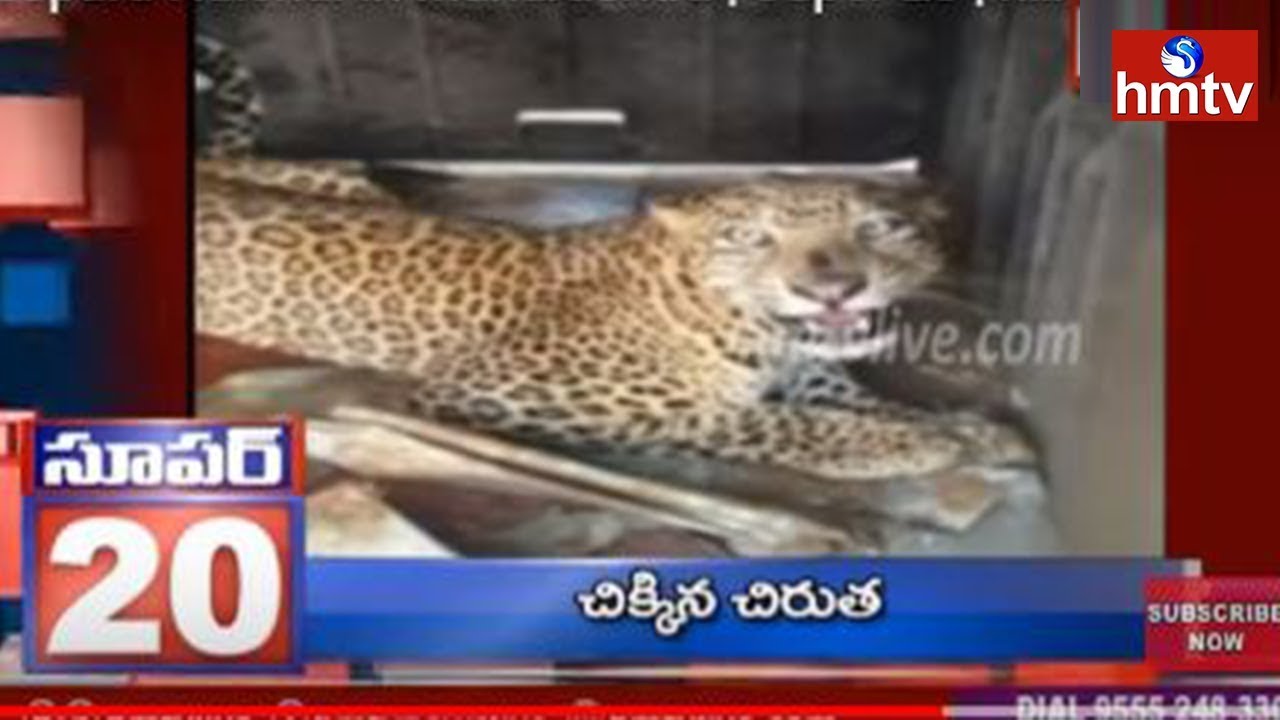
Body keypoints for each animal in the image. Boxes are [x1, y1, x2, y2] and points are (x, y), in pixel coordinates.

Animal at [195, 35, 1037, 486]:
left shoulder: (811, 367)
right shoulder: (490, 392)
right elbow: (737, 419)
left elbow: (861, 396)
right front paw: (898, 444)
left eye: (882, 226)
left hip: (346, 178)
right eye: (752, 238)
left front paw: (968, 430)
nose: (833, 286)